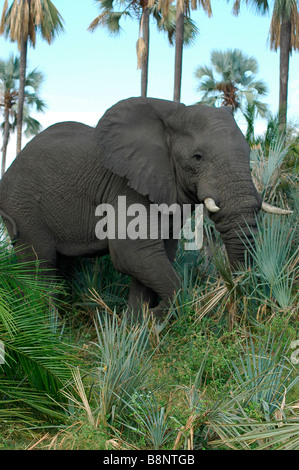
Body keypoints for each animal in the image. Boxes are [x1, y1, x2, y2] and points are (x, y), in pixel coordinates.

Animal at [0, 98, 292, 320]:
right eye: (197, 158)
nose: (232, 287)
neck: (173, 113)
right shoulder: (125, 185)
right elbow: (134, 252)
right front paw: (152, 317)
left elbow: (156, 254)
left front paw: (136, 326)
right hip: (23, 208)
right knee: (40, 266)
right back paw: (47, 326)